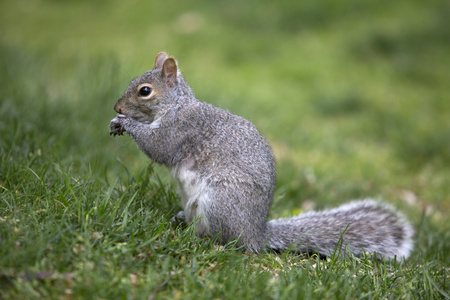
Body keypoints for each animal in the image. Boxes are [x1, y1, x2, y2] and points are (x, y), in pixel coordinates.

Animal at [110, 51, 414, 260]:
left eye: (145, 91)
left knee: (226, 240)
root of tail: (257, 234)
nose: (117, 107)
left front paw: (126, 124)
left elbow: (159, 146)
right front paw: (116, 122)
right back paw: (180, 219)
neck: (176, 106)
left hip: (220, 202)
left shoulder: (182, 130)